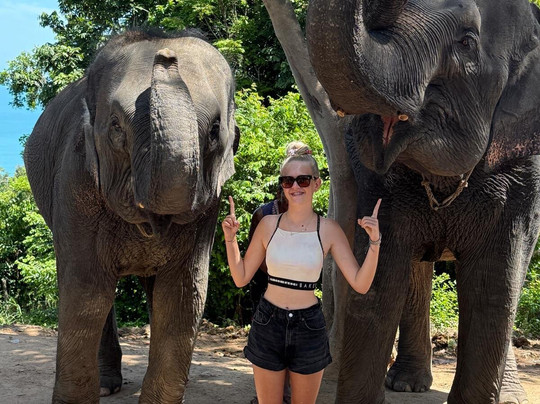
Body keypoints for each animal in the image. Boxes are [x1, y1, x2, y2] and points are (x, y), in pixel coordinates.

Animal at [24, 29, 238, 403]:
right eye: (116, 128)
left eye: (214, 131)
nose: (165, 56)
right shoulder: (75, 178)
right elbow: (85, 290)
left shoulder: (207, 208)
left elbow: (183, 294)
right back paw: (107, 385)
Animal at [306, 0, 540, 403]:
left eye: (467, 42)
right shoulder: (377, 182)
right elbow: (380, 280)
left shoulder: (522, 181)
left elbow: (493, 286)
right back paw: (407, 384)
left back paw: (508, 395)